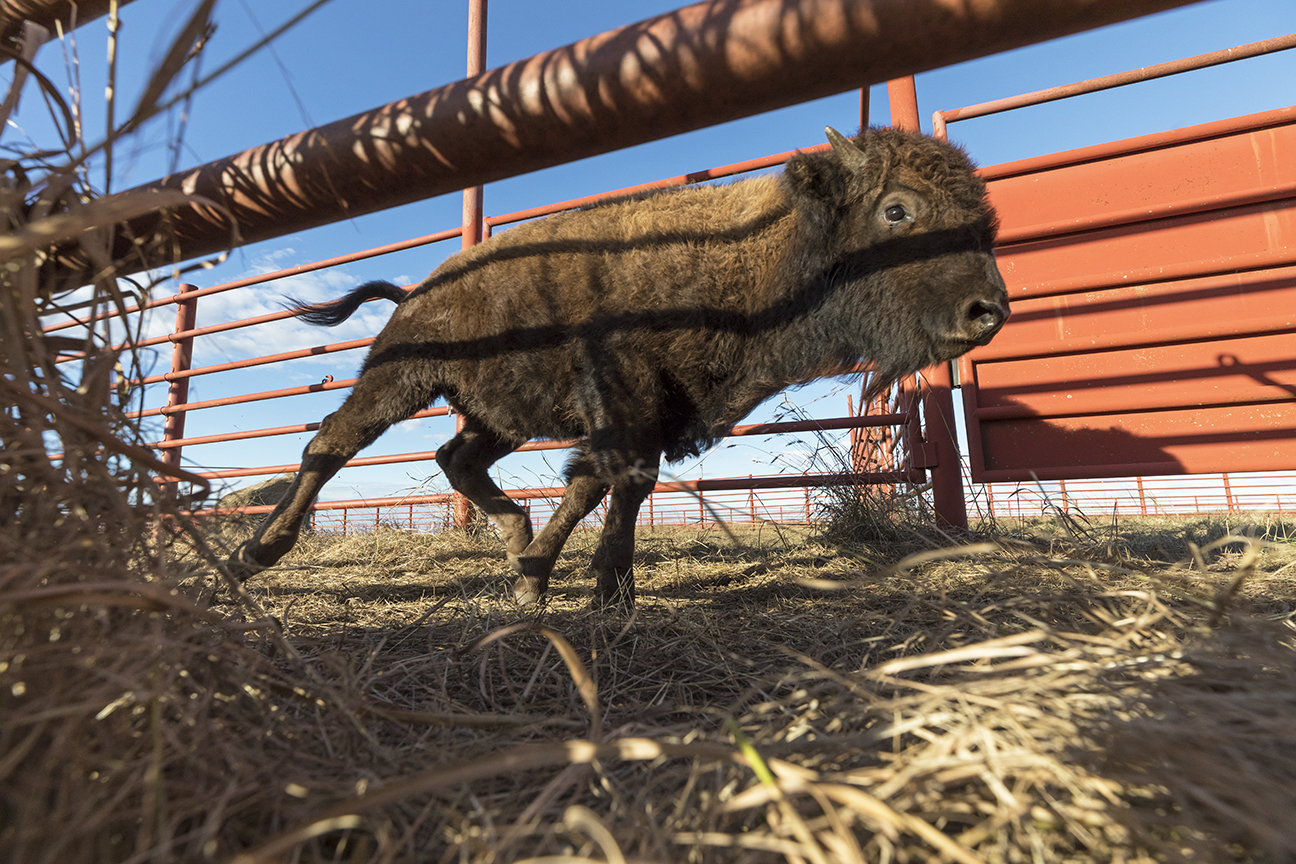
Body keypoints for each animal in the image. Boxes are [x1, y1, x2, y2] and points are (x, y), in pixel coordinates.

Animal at [228, 126, 1005, 608]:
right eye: (896, 210)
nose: (988, 310)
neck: (755, 252)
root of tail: (419, 290)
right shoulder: (623, 397)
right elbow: (621, 482)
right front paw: (606, 589)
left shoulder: (649, 413)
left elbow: (597, 484)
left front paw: (540, 578)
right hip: (401, 380)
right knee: (332, 443)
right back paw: (254, 554)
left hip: (498, 415)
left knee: (457, 459)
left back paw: (515, 535)